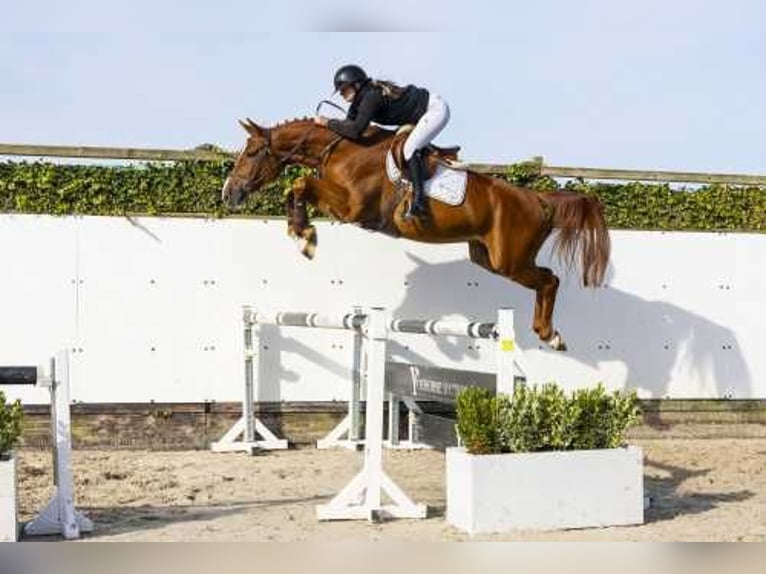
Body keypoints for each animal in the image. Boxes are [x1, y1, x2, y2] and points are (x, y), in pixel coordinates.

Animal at [224, 117, 612, 352]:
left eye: (252, 152)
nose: (229, 193)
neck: (342, 150)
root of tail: (539, 199)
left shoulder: (352, 208)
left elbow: (301, 184)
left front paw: (305, 236)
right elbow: (297, 187)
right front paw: (301, 232)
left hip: (510, 259)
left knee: (550, 280)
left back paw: (552, 335)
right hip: (486, 257)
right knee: (544, 279)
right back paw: (547, 333)